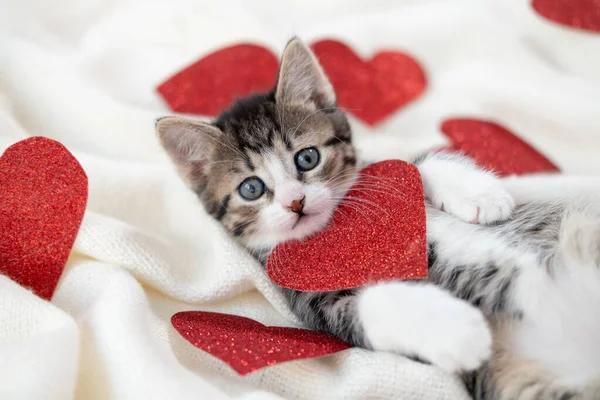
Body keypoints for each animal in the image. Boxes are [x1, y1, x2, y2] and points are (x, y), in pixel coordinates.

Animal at [158, 38, 600, 400]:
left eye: (307, 158)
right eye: (251, 189)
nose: (295, 202)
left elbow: (412, 163)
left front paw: (480, 194)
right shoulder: (312, 301)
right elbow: (370, 305)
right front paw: (459, 333)